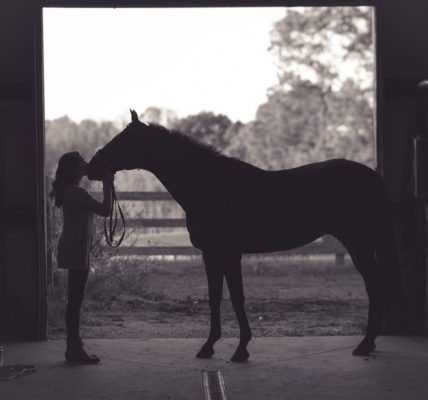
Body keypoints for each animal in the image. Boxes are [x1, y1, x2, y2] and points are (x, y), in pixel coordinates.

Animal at [85, 109, 400, 362]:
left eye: (123, 140)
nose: (92, 167)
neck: (210, 186)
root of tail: (374, 177)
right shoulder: (211, 254)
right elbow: (215, 297)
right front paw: (209, 346)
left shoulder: (228, 253)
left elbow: (237, 297)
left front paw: (240, 349)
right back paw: (368, 343)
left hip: (359, 243)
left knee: (375, 285)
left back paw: (365, 344)